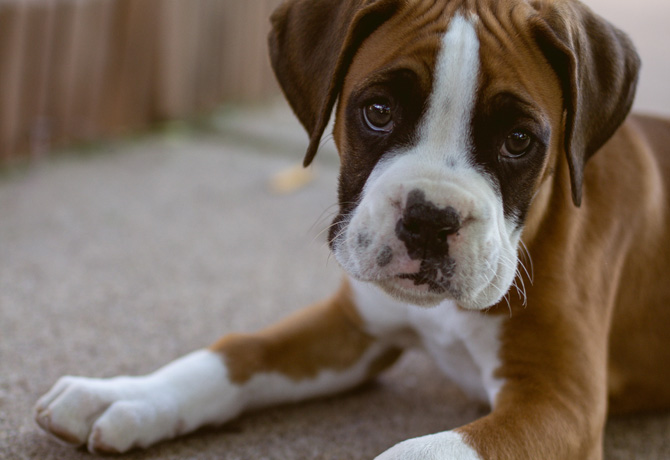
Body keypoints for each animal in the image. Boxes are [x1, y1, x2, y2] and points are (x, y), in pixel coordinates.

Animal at [32, 0, 670, 458]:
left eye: (518, 141)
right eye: (378, 111)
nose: (429, 218)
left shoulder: (560, 404)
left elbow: (422, 451)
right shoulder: (351, 328)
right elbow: (239, 351)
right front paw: (125, 393)